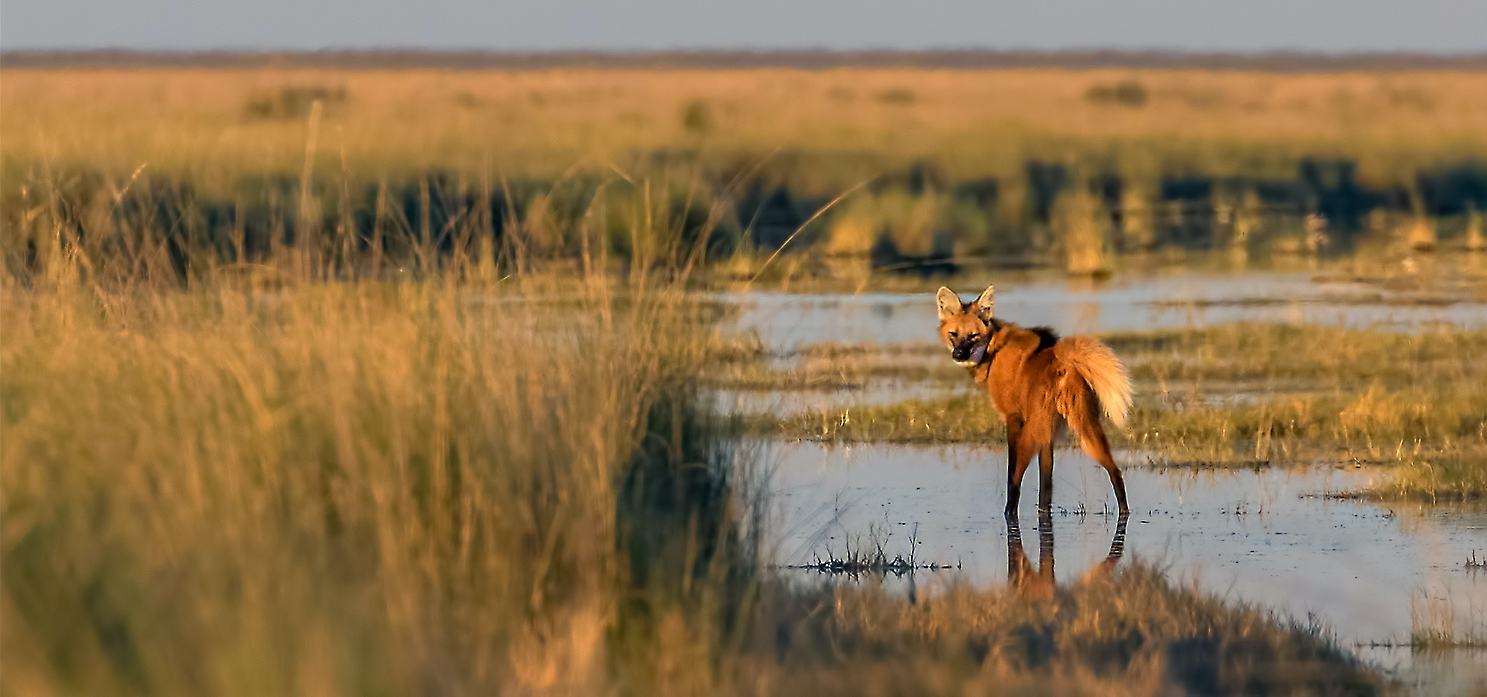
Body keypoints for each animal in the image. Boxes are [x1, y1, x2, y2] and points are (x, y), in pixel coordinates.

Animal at [933, 282, 1130, 517]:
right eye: (953, 334)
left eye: (973, 336)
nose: (959, 354)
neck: (993, 350)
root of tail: (1064, 360)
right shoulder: (1047, 435)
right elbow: (1046, 484)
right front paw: (1043, 512)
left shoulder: (1013, 418)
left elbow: (1012, 475)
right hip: (1084, 428)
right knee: (1115, 472)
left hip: (1036, 432)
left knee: (1016, 479)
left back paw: (1008, 512)